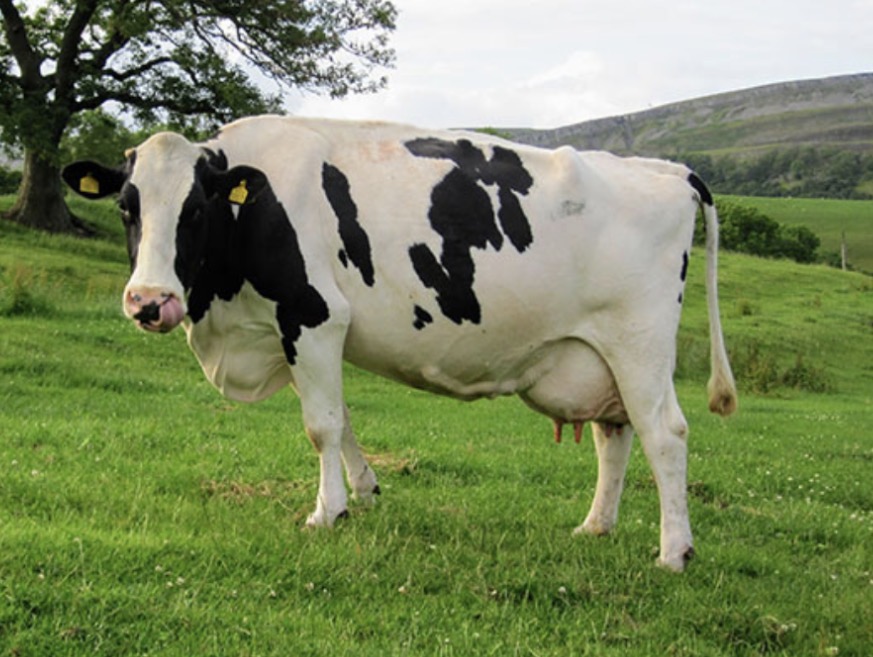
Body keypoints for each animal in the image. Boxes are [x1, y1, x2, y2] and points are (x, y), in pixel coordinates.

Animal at [63, 115, 737, 572]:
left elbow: (321, 426)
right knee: (614, 435)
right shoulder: (304, 332)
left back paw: (674, 551)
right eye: (127, 207)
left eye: (197, 209)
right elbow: (342, 418)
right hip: (598, 354)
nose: (150, 301)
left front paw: (326, 512)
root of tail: (666, 169)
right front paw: (364, 491)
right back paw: (595, 527)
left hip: (640, 343)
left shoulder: (313, 315)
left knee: (664, 433)